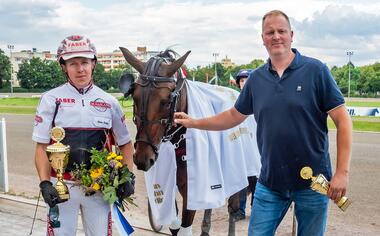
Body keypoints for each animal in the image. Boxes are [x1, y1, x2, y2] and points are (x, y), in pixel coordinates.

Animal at [119, 47, 240, 235]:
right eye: (135, 97)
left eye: (166, 101)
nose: (142, 158)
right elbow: (173, 223)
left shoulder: (192, 187)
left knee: (233, 206)